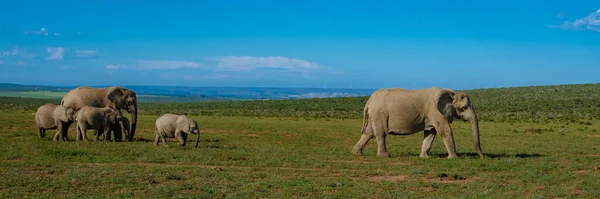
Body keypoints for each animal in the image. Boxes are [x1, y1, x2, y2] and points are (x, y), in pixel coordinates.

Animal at [352, 86, 482, 159]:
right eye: (464, 107)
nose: (481, 157)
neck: (451, 92)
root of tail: (369, 100)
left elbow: (430, 133)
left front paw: (424, 157)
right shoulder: (435, 110)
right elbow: (445, 130)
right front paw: (453, 158)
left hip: (374, 114)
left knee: (368, 132)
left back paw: (357, 153)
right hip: (379, 113)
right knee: (380, 133)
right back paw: (384, 156)